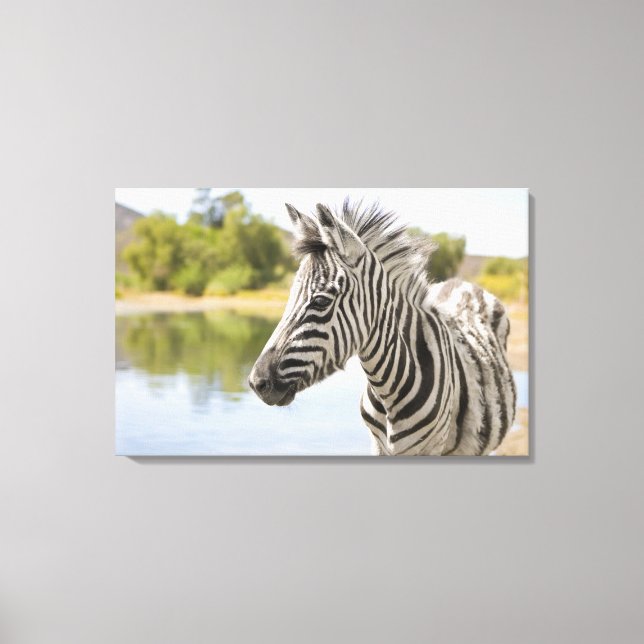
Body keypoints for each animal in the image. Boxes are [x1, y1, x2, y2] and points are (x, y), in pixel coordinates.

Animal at [249, 200, 516, 456]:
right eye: (289, 297)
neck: (388, 389)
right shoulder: (378, 445)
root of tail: (461, 282)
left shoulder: (431, 447)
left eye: (321, 301)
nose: (256, 383)